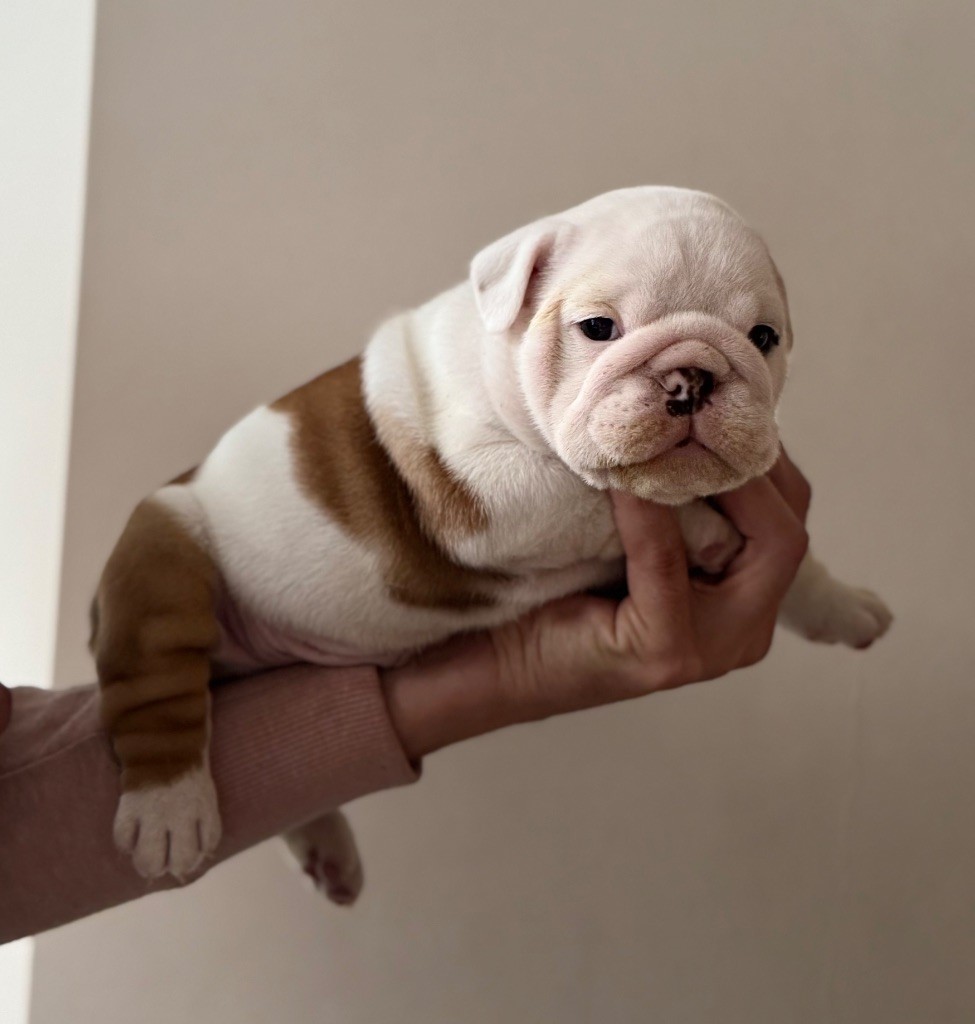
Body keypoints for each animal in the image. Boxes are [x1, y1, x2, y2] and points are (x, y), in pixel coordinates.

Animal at [91, 186, 892, 899]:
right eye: (597, 327)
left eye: (764, 338)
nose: (691, 375)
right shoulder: (488, 492)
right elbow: (592, 491)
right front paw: (702, 525)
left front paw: (841, 603)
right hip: (163, 549)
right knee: (153, 688)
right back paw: (169, 813)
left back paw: (325, 847)